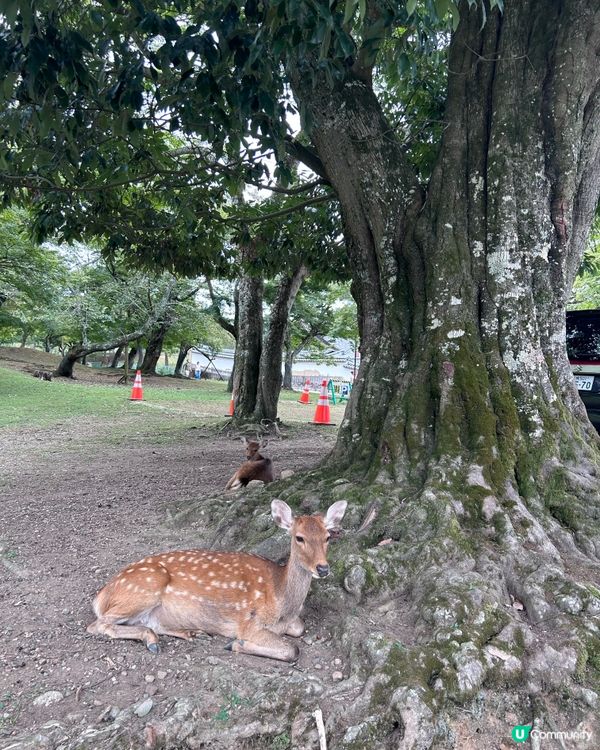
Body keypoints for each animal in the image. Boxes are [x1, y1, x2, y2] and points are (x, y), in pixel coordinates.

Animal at [86, 499, 347, 661]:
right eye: (299, 537)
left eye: (328, 536)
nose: (323, 568)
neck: (282, 603)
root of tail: (101, 595)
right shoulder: (248, 622)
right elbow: (292, 649)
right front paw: (235, 644)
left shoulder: (292, 622)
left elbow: (299, 629)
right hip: (145, 587)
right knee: (98, 624)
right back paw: (153, 640)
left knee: (149, 623)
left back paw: (190, 633)